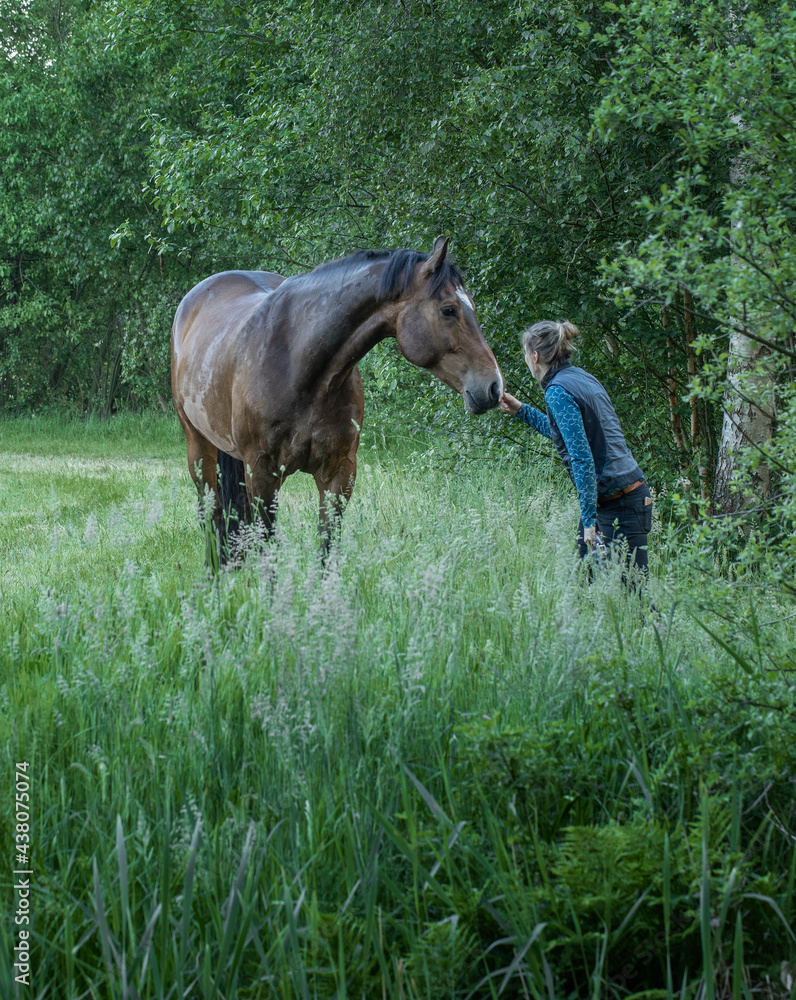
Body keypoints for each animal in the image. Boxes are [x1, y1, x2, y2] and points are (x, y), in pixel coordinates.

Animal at [171, 237, 500, 560]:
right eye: (449, 310)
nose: (494, 386)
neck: (299, 368)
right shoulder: (263, 474)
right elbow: (268, 548)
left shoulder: (338, 474)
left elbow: (327, 549)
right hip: (199, 449)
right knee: (211, 515)